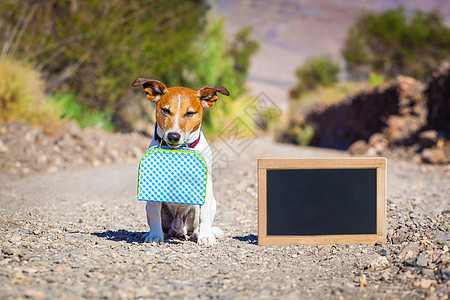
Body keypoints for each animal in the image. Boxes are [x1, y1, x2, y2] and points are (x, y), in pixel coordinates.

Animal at [130, 77, 229, 246]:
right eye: (165, 110)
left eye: (190, 113)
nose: (173, 136)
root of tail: (177, 228)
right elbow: (155, 216)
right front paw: (154, 236)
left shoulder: (205, 183)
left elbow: (204, 215)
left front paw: (205, 237)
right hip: (150, 208)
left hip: (204, 206)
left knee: (198, 222)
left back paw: (197, 234)